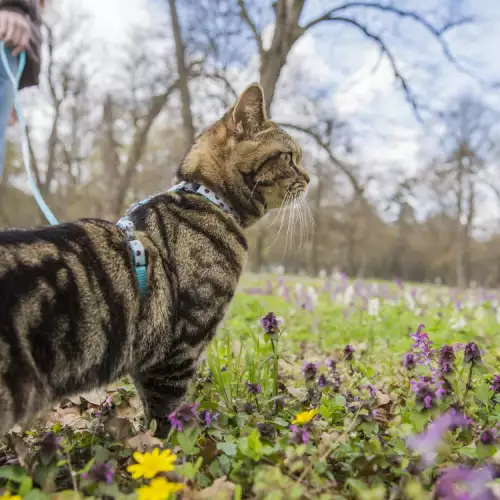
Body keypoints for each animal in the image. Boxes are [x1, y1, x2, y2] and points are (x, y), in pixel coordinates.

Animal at [0, 84, 308, 436]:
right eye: (289, 157)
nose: (309, 178)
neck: (207, 198)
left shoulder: (149, 356)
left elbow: (148, 405)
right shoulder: (180, 347)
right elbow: (167, 411)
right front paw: (175, 444)